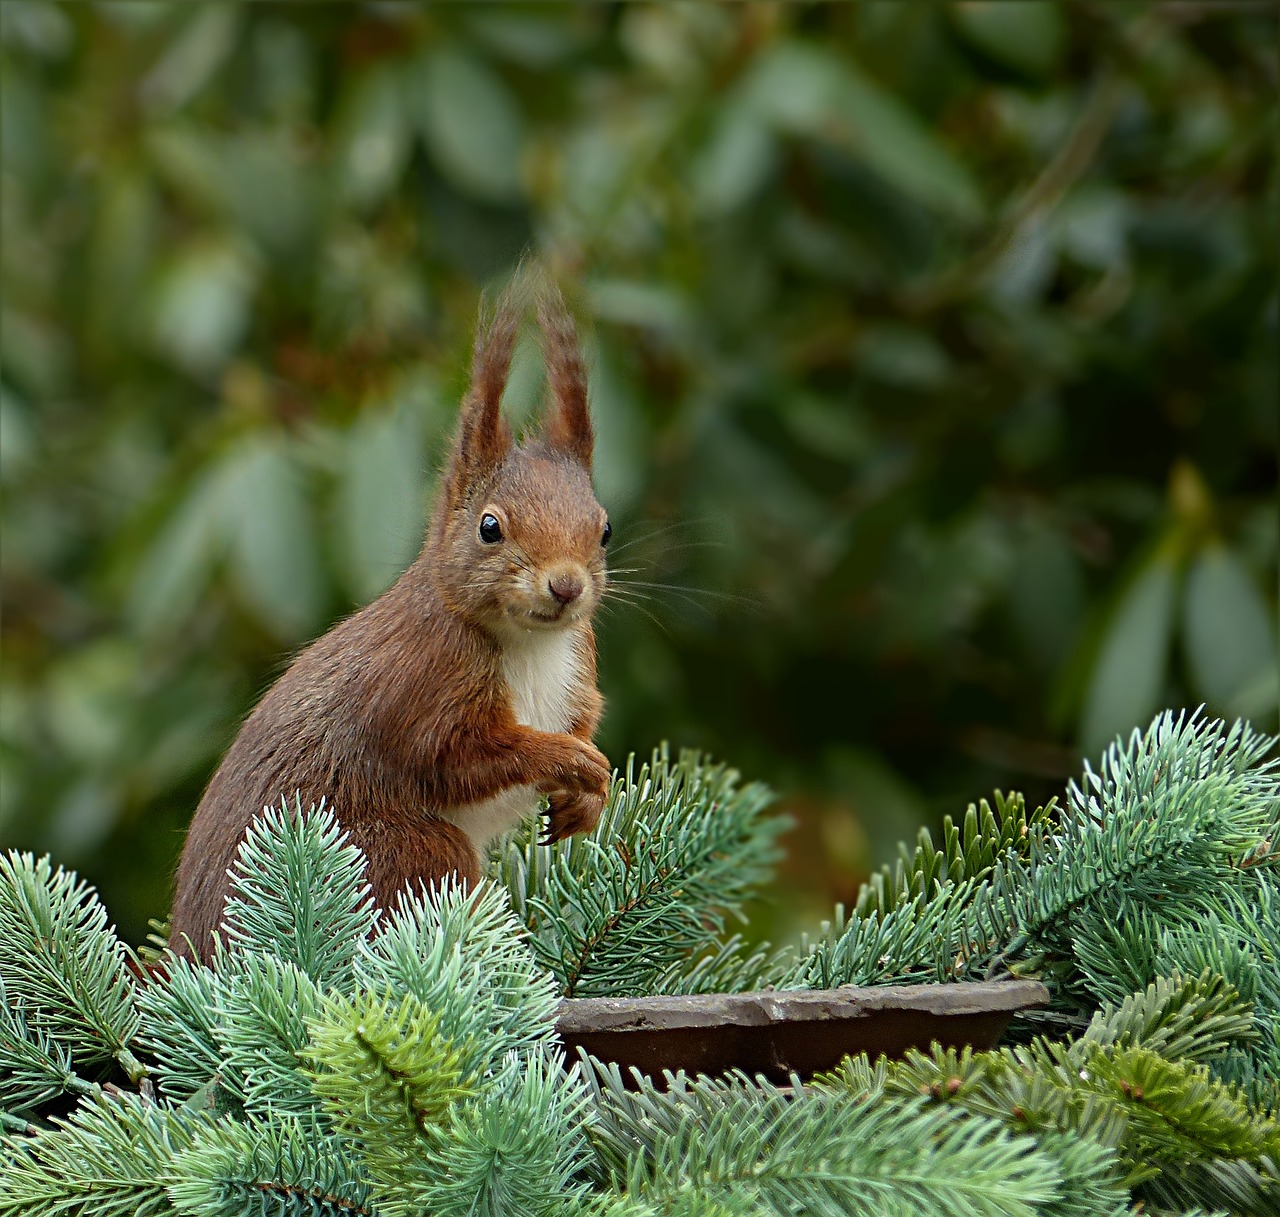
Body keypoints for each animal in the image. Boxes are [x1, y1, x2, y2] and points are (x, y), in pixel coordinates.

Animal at [167, 276, 611, 962]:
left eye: (604, 530)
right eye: (490, 527)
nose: (566, 586)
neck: (530, 643)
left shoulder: (577, 663)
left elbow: (584, 716)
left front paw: (587, 798)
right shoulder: (422, 686)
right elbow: (456, 758)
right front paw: (571, 761)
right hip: (404, 854)